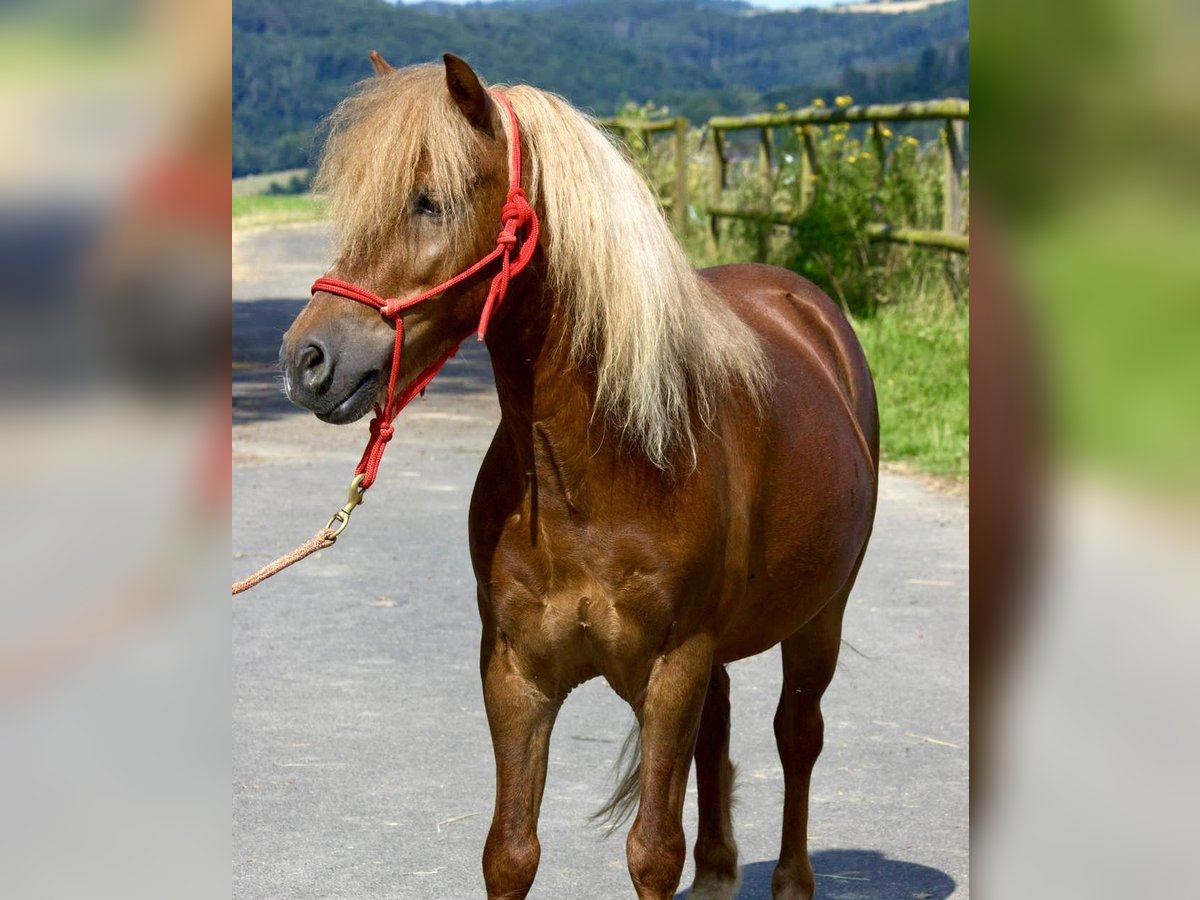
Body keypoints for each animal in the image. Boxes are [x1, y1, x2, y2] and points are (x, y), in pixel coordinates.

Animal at [282, 56, 883, 900]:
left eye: (429, 201)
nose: (307, 361)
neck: (595, 473)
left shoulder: (671, 668)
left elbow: (653, 851)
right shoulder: (516, 673)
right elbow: (510, 851)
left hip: (820, 615)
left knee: (797, 734)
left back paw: (792, 879)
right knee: (722, 727)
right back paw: (719, 871)